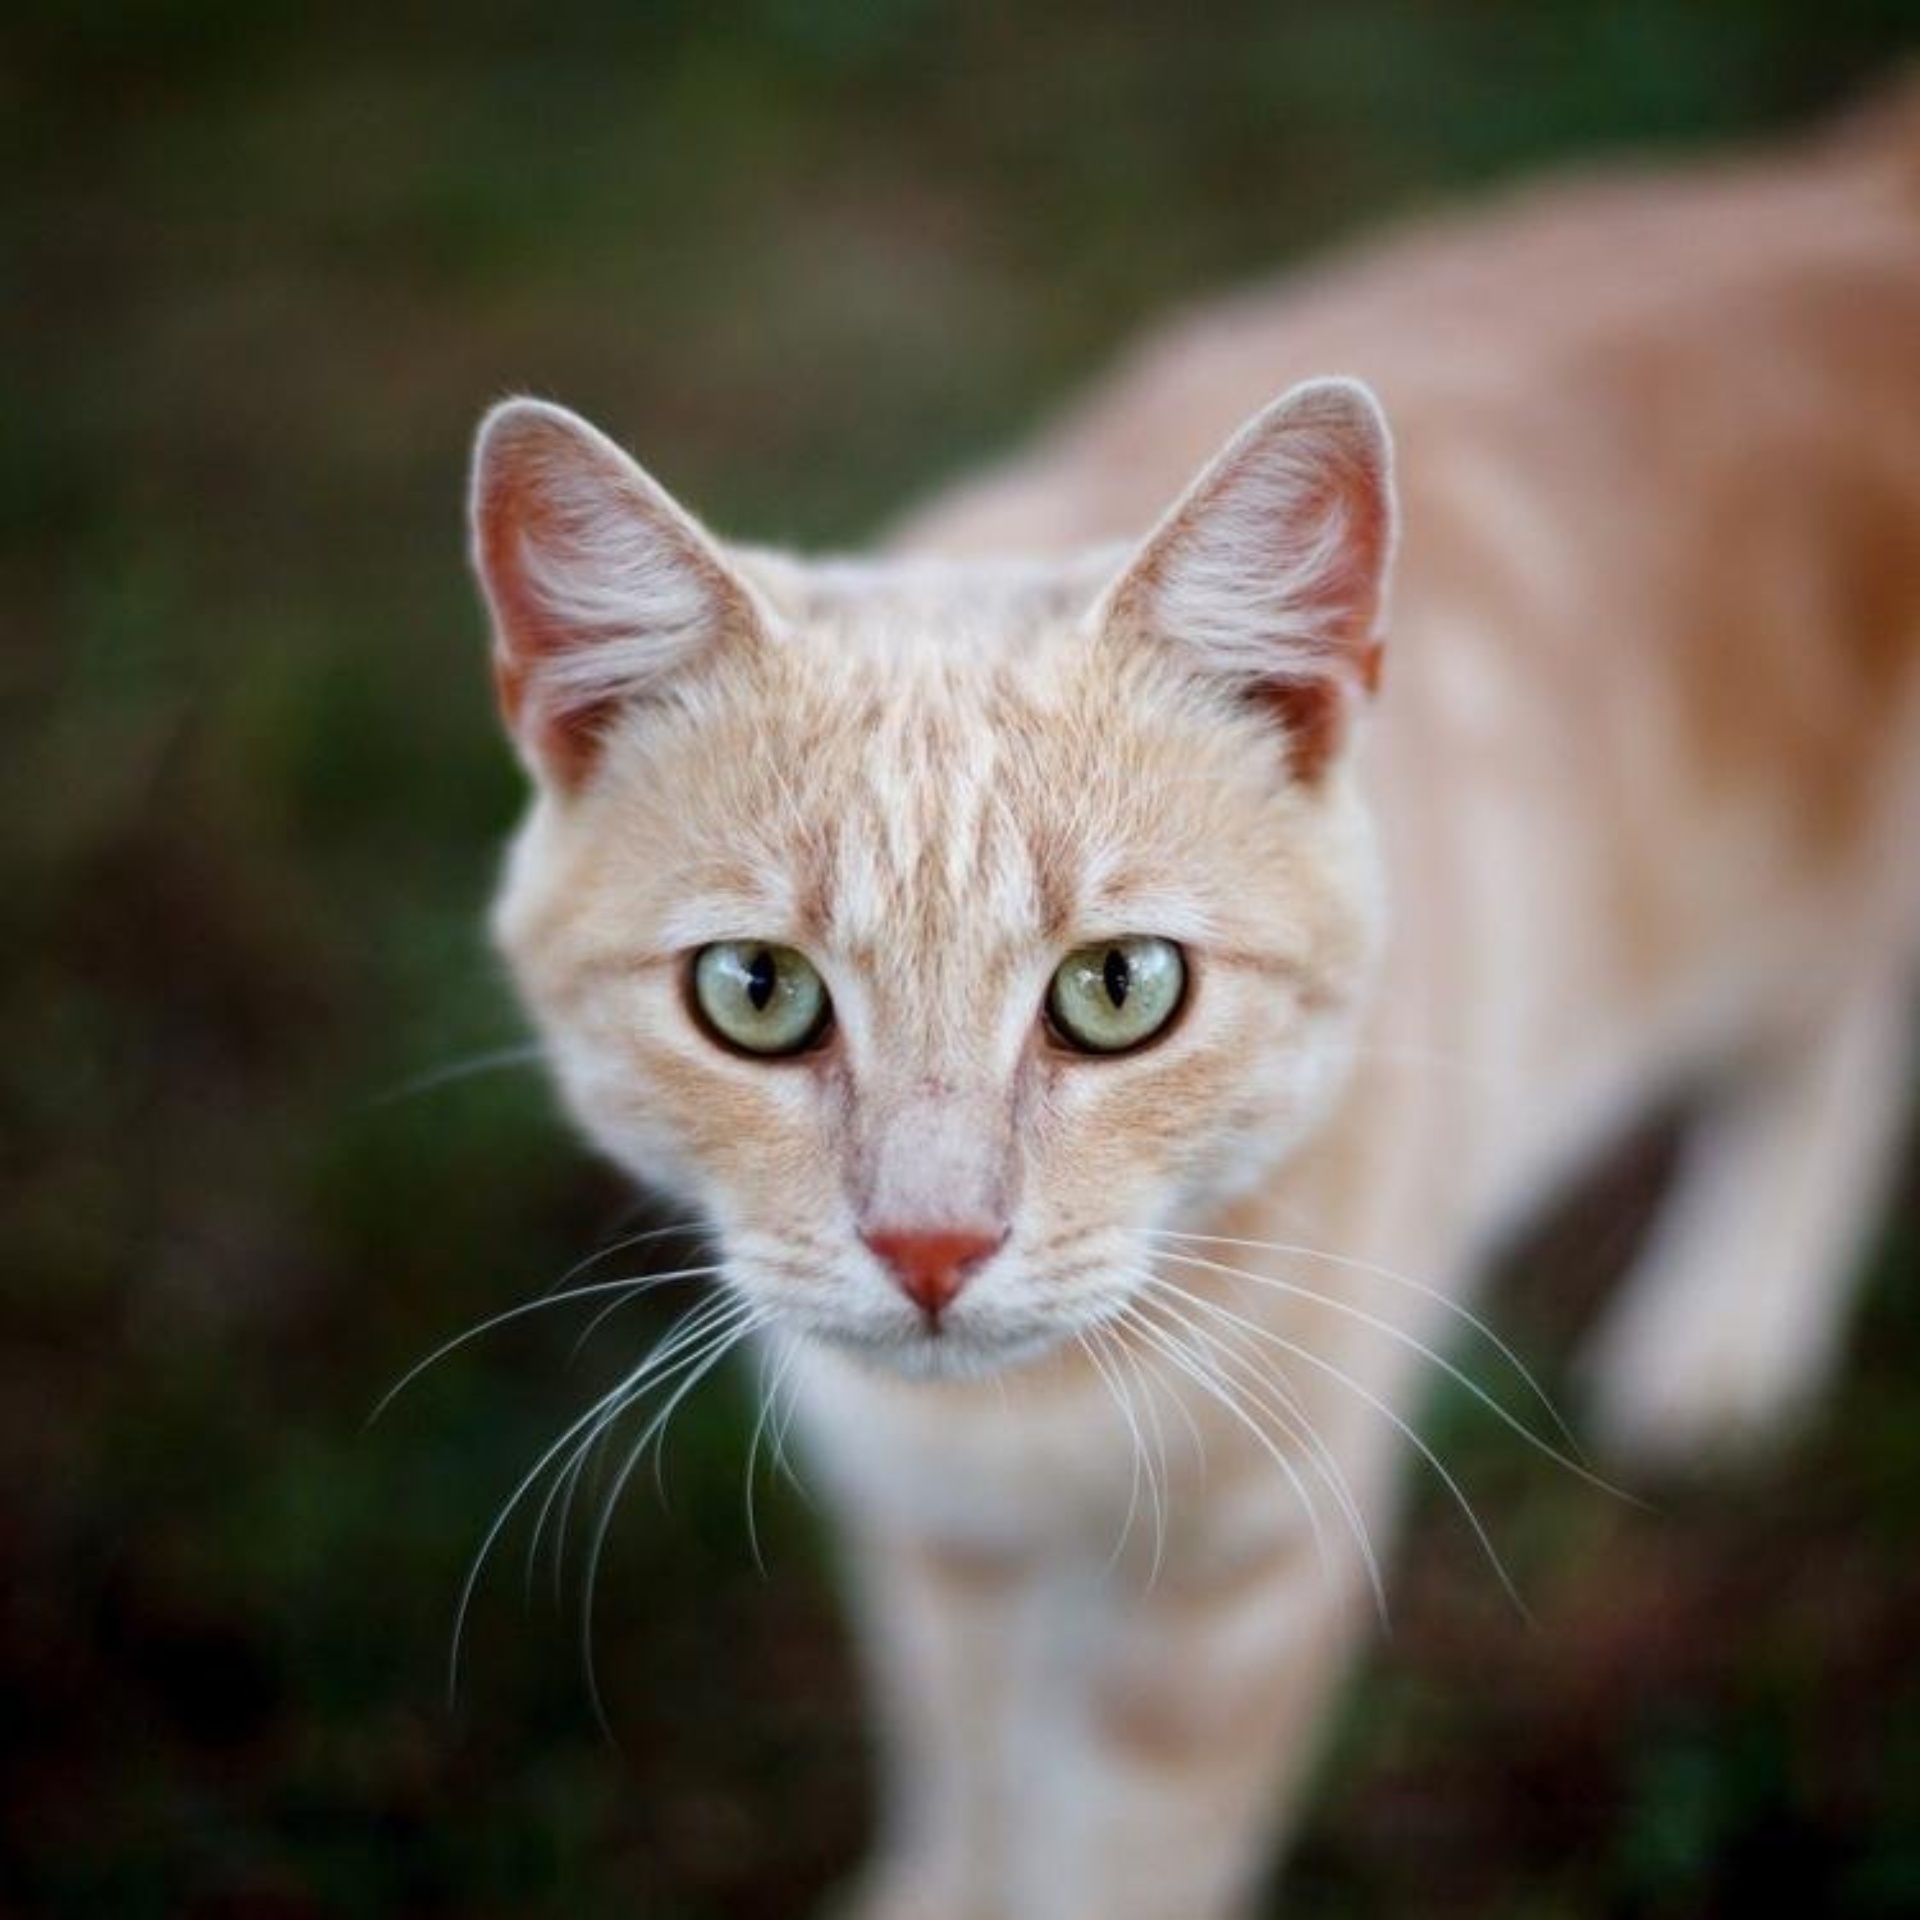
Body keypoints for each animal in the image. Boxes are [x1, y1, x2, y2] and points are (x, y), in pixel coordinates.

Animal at [460, 93, 1920, 1920]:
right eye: (757, 991)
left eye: (1118, 987)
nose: (930, 1248)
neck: (1020, 1433)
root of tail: (1830, 192)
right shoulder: (937, 1545)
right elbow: (970, 1764)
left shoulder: (1234, 1596)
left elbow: (1116, 1854)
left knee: (1839, 1031)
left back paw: (1731, 1321)